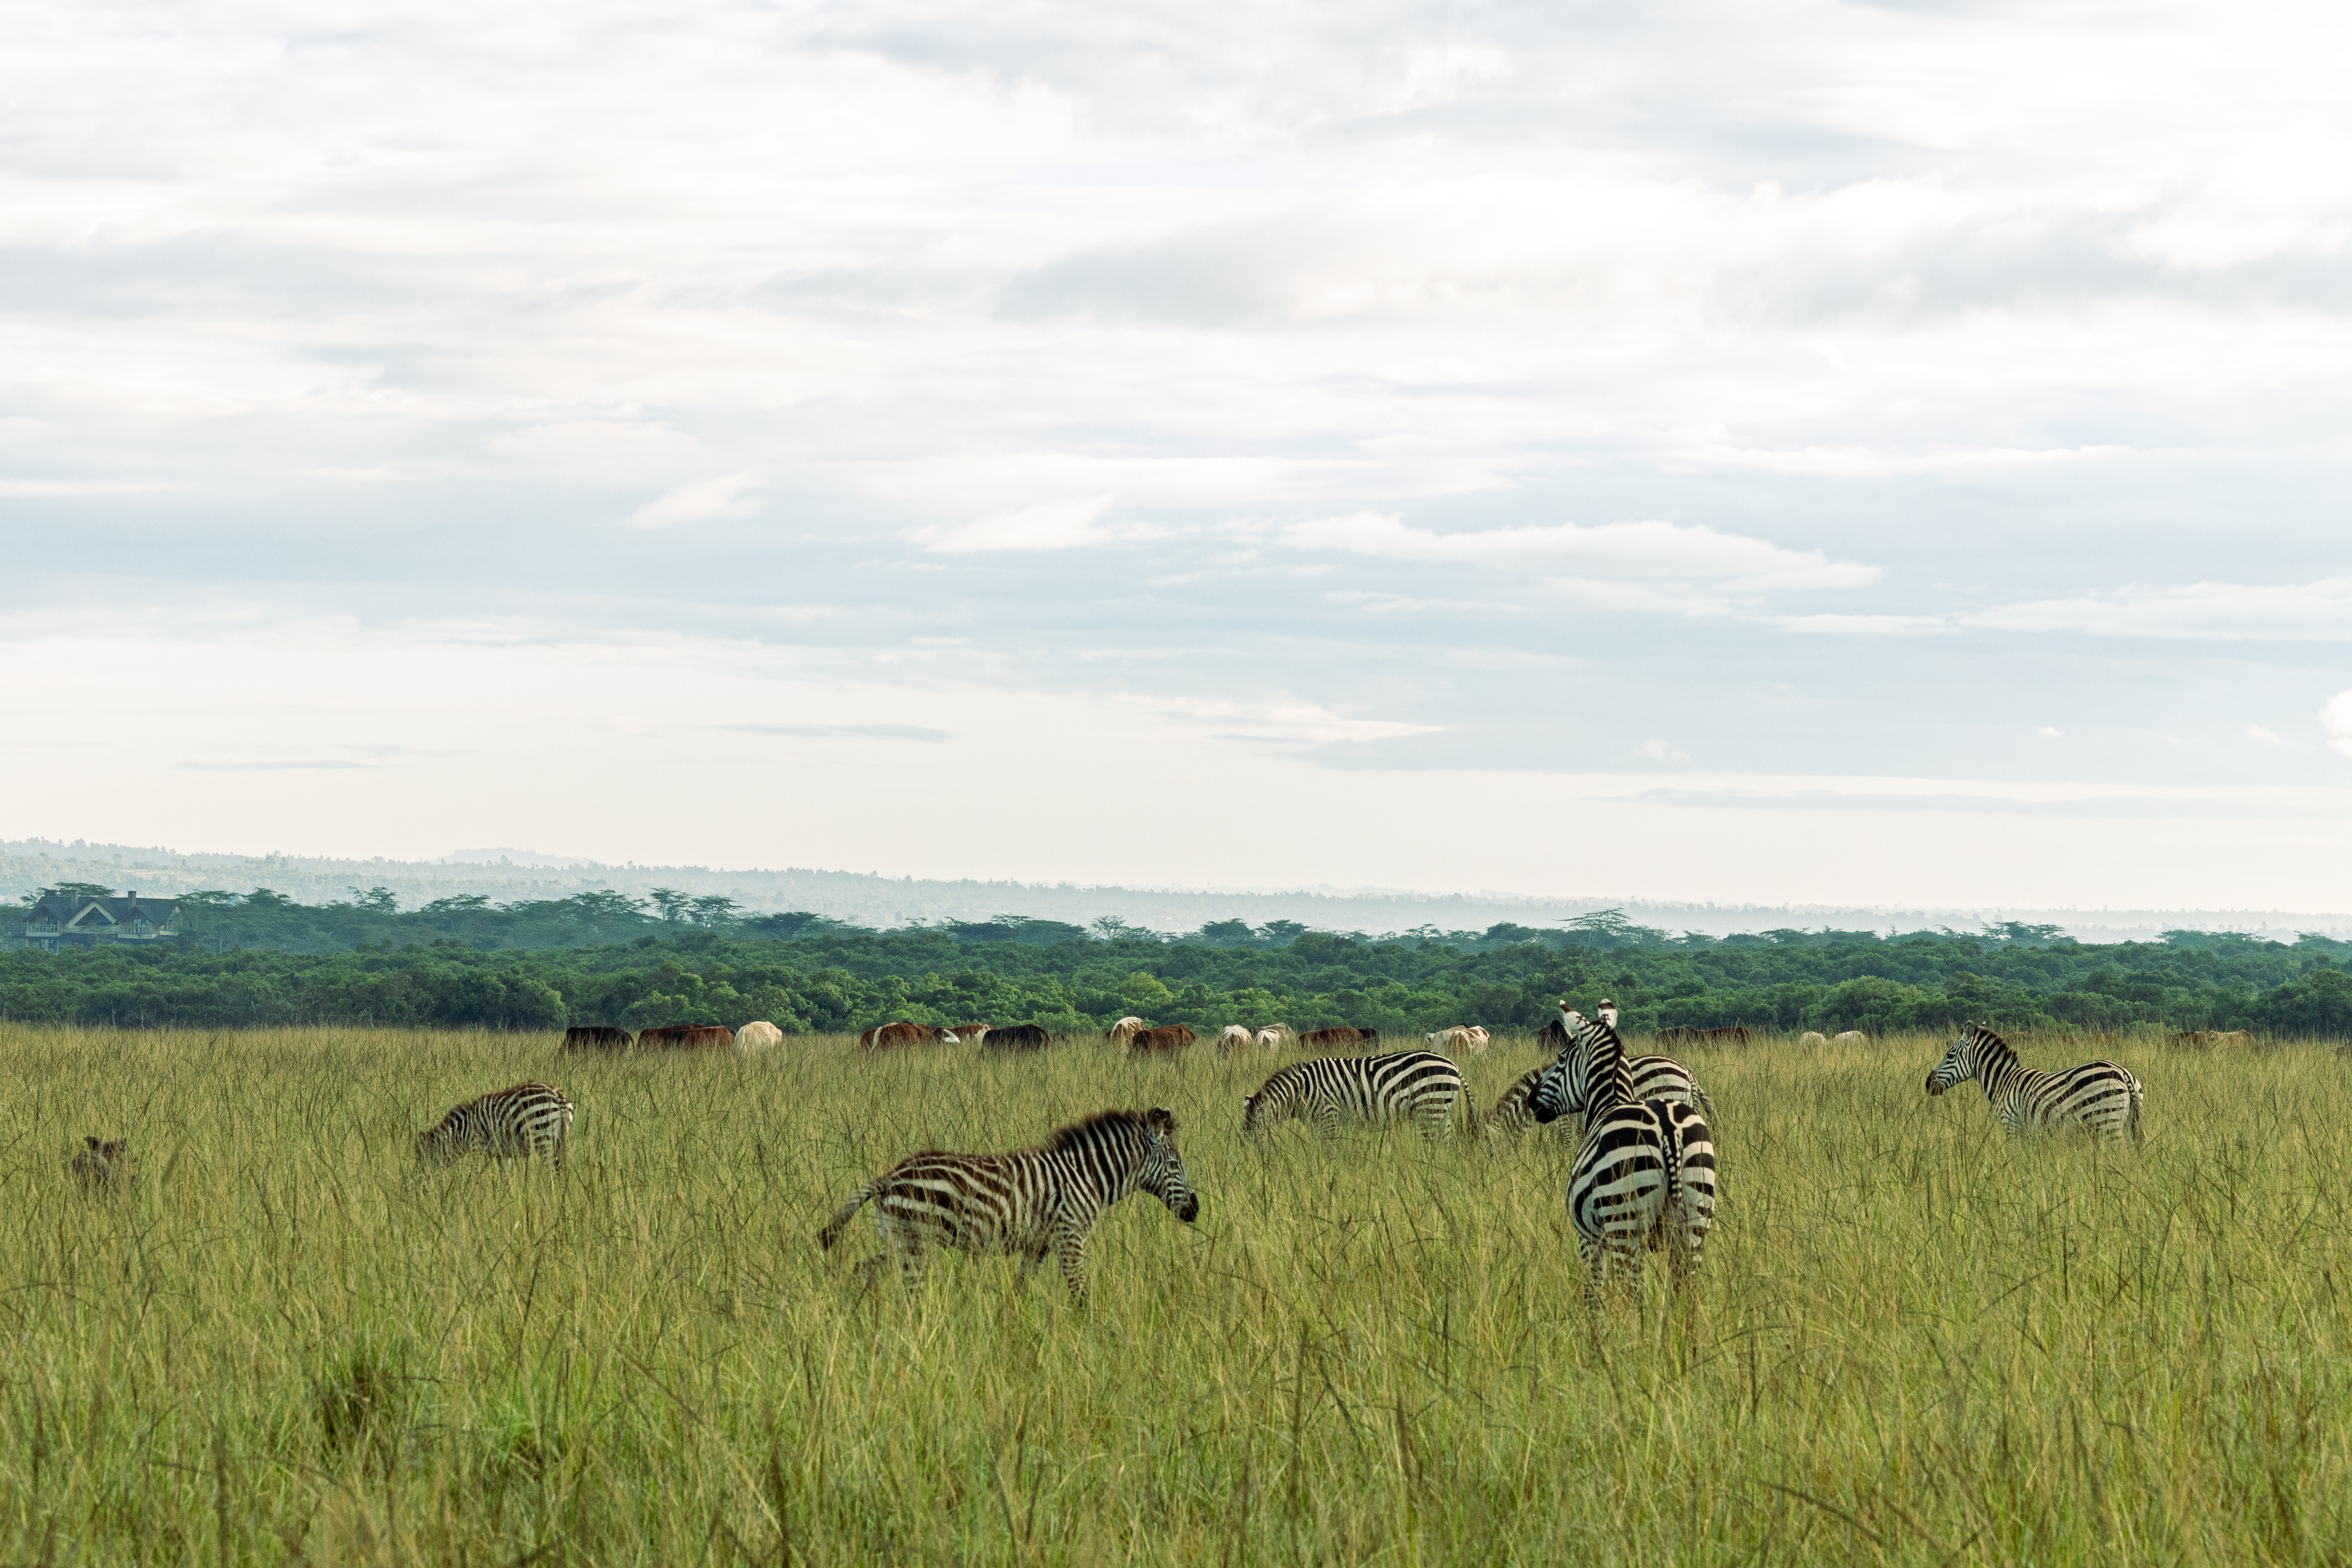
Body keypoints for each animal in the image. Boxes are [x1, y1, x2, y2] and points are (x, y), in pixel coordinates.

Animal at [416, 1082, 575, 1168]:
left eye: (423, 1159)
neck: (465, 1130)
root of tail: (557, 1095)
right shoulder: (503, 1155)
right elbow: (506, 1180)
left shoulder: (477, 1148)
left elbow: (474, 1179)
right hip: (560, 1139)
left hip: (543, 1139)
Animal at [817, 1106, 1199, 1307]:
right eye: (1174, 1165)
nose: (1196, 1210)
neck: (1086, 1176)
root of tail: (888, 1176)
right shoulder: (1070, 1237)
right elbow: (1079, 1292)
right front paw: (1092, 1335)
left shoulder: (1039, 1244)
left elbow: (1020, 1290)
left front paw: (1016, 1332)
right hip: (916, 1244)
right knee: (910, 1293)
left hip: (898, 1240)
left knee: (862, 1270)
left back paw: (858, 1314)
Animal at [1240, 1050, 1464, 1138]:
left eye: (1252, 1134)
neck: (1302, 1091)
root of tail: (1453, 1065)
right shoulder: (1317, 1122)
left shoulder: (1329, 1116)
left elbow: (1330, 1151)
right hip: (1443, 1112)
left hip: (1429, 1108)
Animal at [1529, 1011, 1716, 1303]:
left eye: (1560, 1058)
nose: (1532, 1098)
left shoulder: (1590, 1238)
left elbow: (1594, 1293)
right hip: (1693, 1218)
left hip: (1625, 1226)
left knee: (1632, 1295)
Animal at [1926, 1024, 2143, 1144]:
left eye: (1950, 1056)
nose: (1928, 1084)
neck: (2003, 1081)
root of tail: (2123, 1074)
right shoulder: (2027, 1131)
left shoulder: (2011, 1125)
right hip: (2127, 1123)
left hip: (2108, 1124)